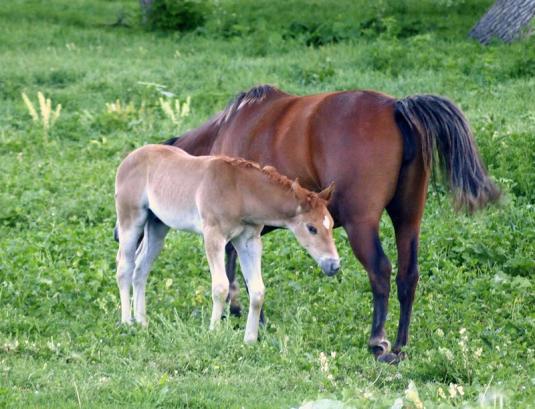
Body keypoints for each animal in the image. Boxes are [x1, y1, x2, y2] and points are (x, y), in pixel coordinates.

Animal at [114, 143, 340, 342]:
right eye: (311, 228)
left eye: (331, 224)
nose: (334, 265)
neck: (240, 192)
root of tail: (127, 158)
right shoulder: (213, 236)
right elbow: (221, 286)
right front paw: (214, 332)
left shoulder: (249, 241)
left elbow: (257, 290)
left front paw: (250, 339)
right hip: (130, 220)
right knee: (125, 266)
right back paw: (127, 322)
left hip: (157, 226)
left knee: (141, 268)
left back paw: (142, 322)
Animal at [162, 84, 498, 362]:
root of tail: (396, 108)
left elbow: (240, 268)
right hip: (408, 218)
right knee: (408, 275)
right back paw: (401, 344)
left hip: (361, 224)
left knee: (380, 270)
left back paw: (378, 342)